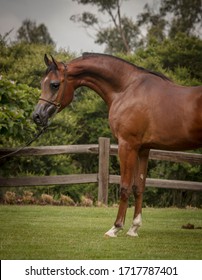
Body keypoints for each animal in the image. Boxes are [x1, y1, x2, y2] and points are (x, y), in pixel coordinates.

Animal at [32, 52, 201, 236]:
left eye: (54, 85)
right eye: (41, 83)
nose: (37, 116)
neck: (126, 89)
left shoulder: (127, 145)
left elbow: (125, 187)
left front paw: (116, 227)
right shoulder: (142, 149)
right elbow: (138, 187)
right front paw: (134, 228)